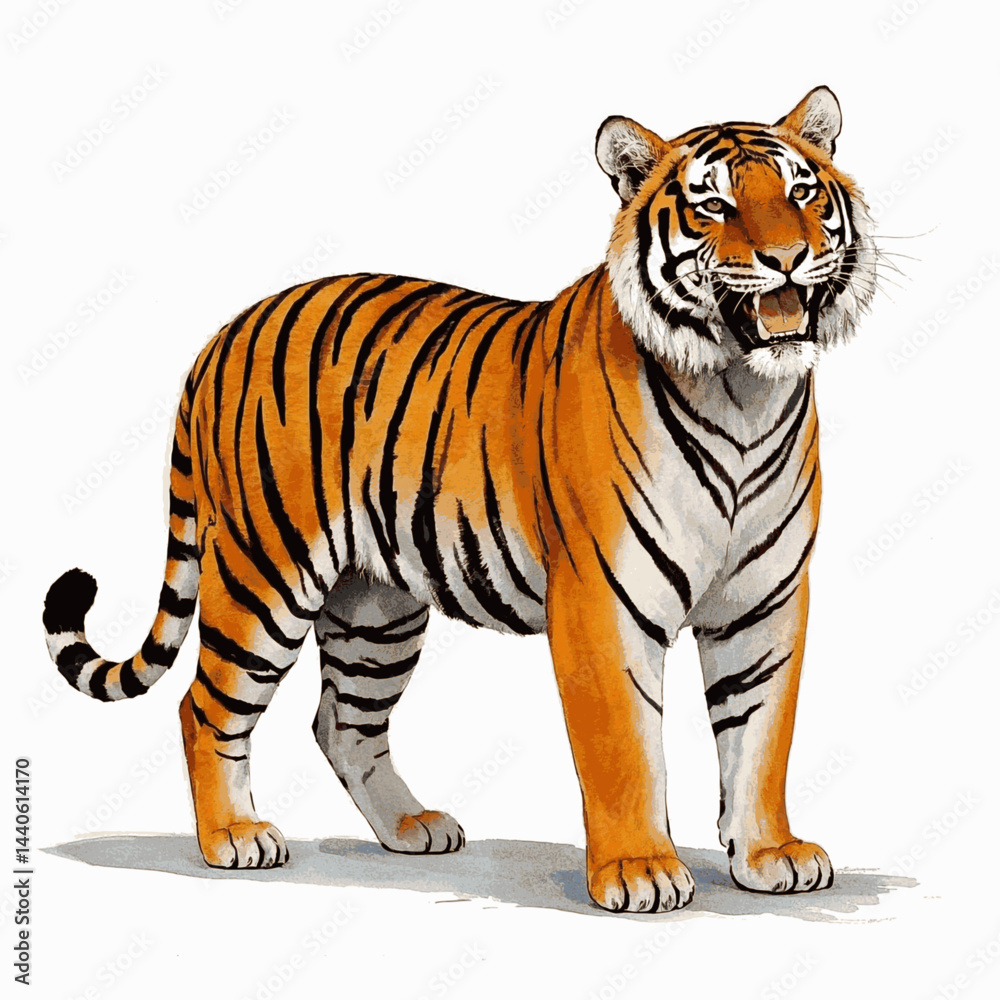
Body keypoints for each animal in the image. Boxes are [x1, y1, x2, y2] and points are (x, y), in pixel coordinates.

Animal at [43, 86, 875, 913]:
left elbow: (760, 736)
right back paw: (234, 839)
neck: (742, 394)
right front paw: (640, 869)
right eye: (713, 206)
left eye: (801, 194)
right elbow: (625, 749)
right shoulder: (604, 600)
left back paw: (411, 827)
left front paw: (768, 855)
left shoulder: (764, 601)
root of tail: (223, 333)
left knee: (342, 721)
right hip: (263, 572)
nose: (786, 257)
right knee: (205, 704)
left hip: (375, 607)